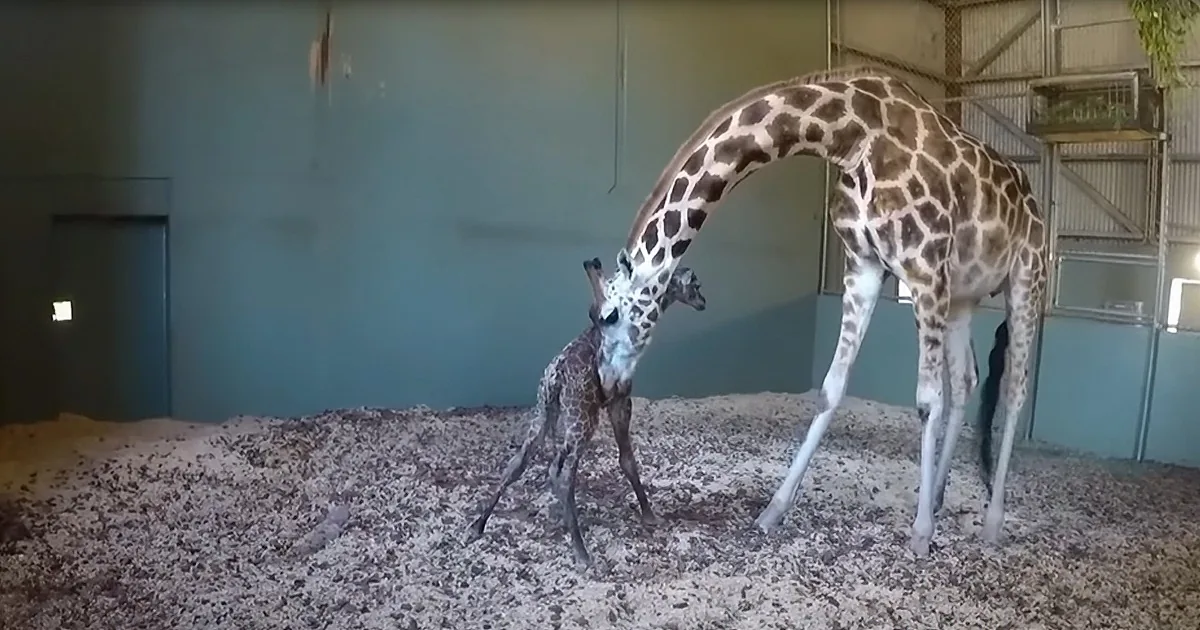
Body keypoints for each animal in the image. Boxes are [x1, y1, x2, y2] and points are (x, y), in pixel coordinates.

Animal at [465, 258, 708, 567]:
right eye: (695, 285)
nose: (703, 302)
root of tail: (557, 375)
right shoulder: (620, 401)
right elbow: (627, 459)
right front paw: (650, 516)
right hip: (583, 419)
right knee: (564, 472)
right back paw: (581, 552)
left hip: (546, 411)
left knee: (521, 462)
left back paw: (478, 527)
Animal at [589, 64, 1047, 557]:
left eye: (609, 316)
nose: (607, 384)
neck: (849, 135)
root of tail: (1035, 200)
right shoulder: (864, 266)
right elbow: (832, 386)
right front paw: (773, 511)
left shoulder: (924, 267)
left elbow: (927, 400)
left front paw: (921, 533)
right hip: (963, 295)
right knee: (966, 380)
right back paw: (941, 497)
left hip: (1026, 278)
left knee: (1014, 388)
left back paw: (992, 521)